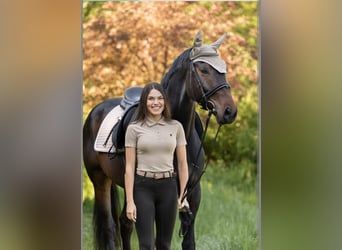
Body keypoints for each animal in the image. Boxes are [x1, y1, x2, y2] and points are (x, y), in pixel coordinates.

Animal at [83, 31, 238, 250]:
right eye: (204, 69)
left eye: (223, 69)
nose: (229, 111)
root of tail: (96, 111)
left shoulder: (193, 192)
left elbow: (188, 241)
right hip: (99, 179)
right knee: (110, 226)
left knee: (125, 223)